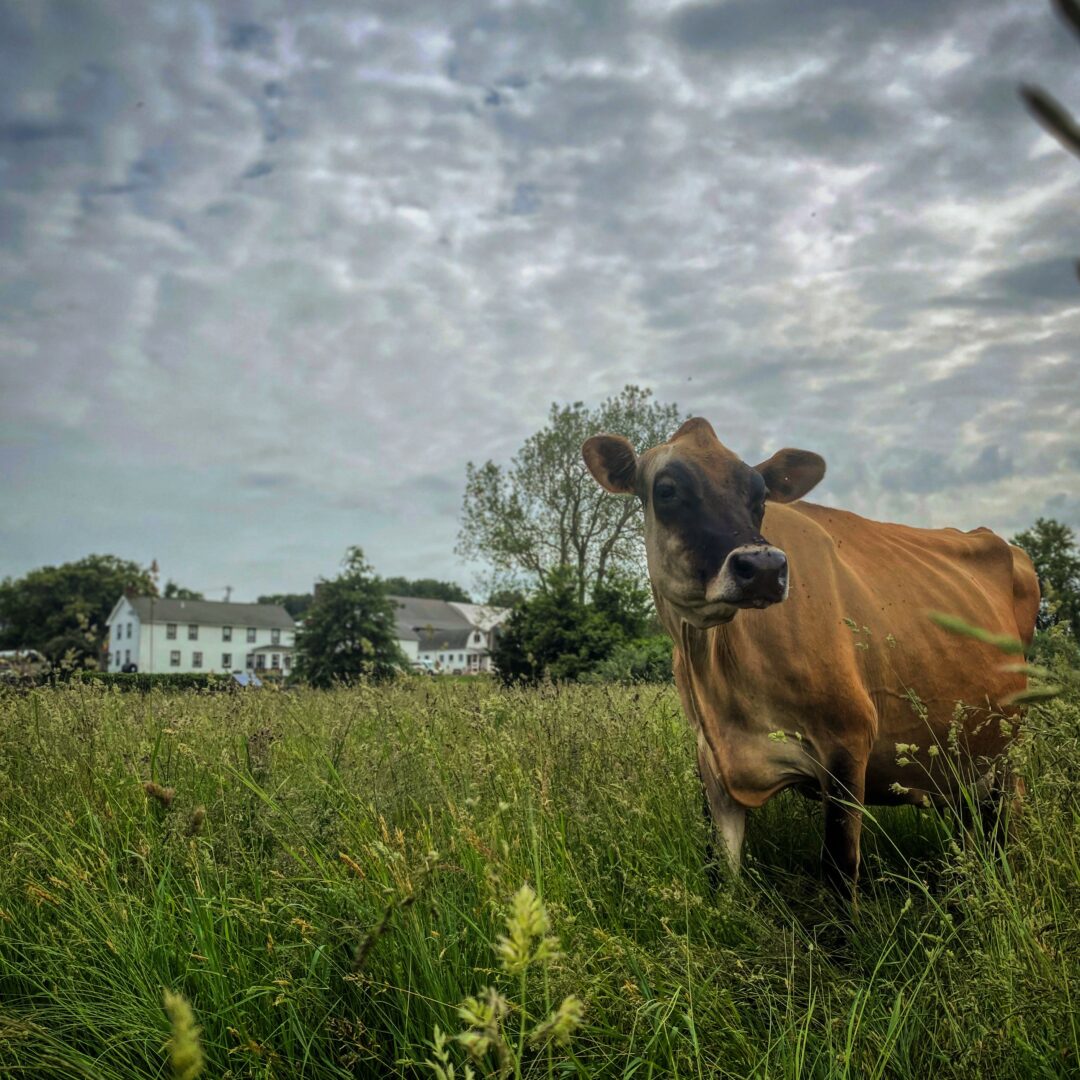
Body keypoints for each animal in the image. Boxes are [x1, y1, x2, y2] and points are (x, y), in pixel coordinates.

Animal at [583, 417, 1040, 893]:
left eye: (761, 496)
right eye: (667, 489)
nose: (763, 567)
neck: (717, 678)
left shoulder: (848, 743)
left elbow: (839, 870)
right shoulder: (713, 765)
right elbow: (721, 876)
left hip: (1011, 748)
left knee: (1005, 822)